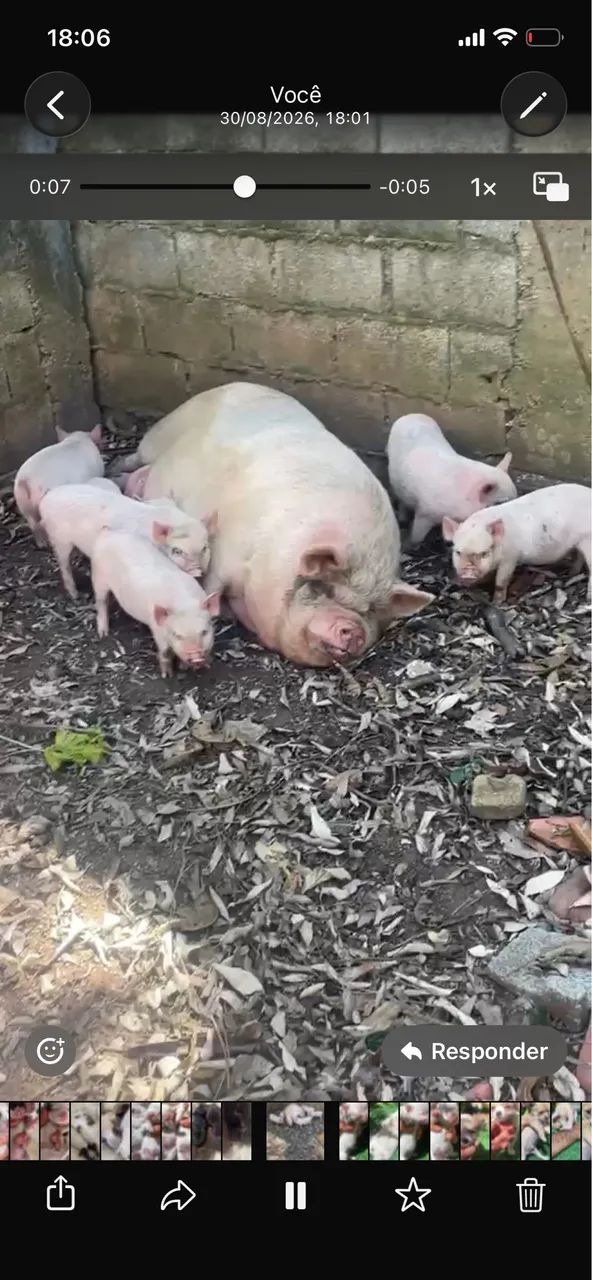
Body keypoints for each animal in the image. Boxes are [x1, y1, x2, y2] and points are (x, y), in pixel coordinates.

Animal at [39, 484, 213, 599]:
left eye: (205, 547)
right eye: (177, 551)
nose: (199, 571)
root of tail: (45, 498)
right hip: (60, 538)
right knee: (63, 563)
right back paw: (75, 595)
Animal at [90, 528, 219, 676]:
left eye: (204, 632)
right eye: (177, 635)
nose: (196, 657)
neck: (184, 603)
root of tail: (106, 533)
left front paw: (185, 667)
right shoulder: (157, 629)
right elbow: (164, 652)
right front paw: (167, 675)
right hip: (98, 578)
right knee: (101, 602)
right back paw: (103, 633)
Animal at [114, 382, 434, 667]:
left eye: (371, 609)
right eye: (324, 589)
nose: (353, 630)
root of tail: (232, 385)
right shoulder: (224, 554)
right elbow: (211, 585)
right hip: (160, 433)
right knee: (136, 456)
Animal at [442, 483, 591, 604]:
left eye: (485, 552)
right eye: (458, 552)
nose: (467, 573)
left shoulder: (511, 557)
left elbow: (501, 581)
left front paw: (497, 603)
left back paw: (588, 598)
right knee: (579, 556)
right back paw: (571, 573)